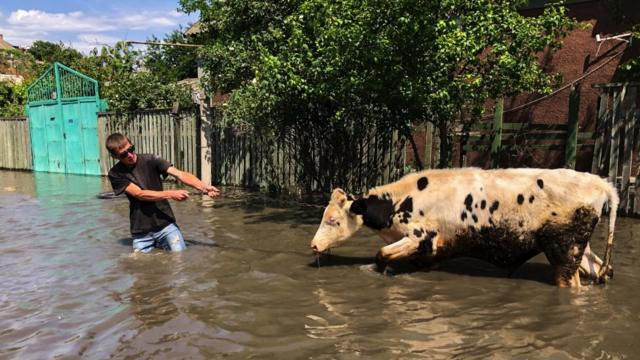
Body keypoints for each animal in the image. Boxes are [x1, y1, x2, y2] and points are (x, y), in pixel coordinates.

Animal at [312, 167, 620, 288]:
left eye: (333, 220)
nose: (314, 245)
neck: (400, 201)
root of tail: (600, 183)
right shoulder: (431, 251)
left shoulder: (420, 237)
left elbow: (381, 255)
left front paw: (382, 271)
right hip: (580, 250)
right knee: (599, 270)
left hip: (564, 251)